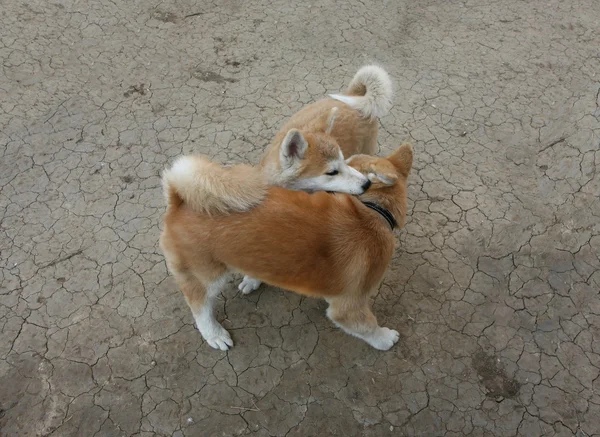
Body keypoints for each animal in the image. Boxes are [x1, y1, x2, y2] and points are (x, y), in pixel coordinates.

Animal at [159, 145, 412, 350]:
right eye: (335, 170)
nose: (365, 183)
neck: (372, 212)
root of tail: (179, 200)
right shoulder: (349, 306)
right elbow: (368, 326)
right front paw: (384, 339)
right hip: (206, 276)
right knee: (200, 307)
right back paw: (214, 334)